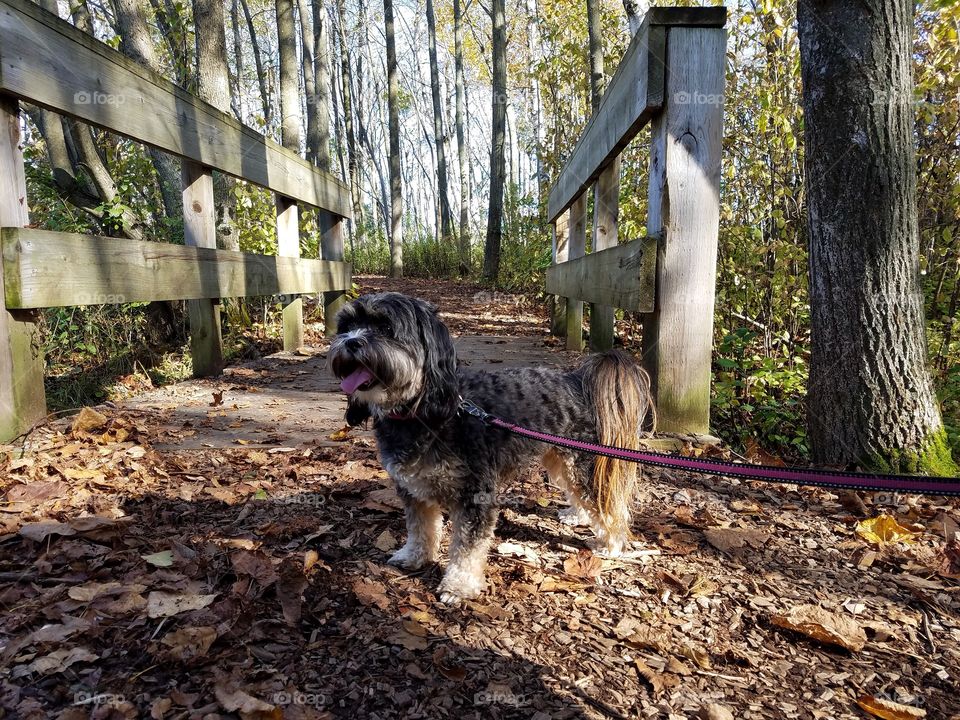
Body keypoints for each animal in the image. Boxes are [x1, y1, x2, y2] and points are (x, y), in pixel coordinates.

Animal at [328, 292, 652, 600]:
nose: (351, 342)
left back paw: (611, 544)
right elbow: (419, 528)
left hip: (581, 462)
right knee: (578, 492)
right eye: (346, 326)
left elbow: (467, 548)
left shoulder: (476, 494)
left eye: (385, 327)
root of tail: (576, 380)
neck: (422, 410)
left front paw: (459, 586)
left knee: (607, 504)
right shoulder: (413, 488)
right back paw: (578, 515)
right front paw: (414, 555)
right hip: (558, 455)